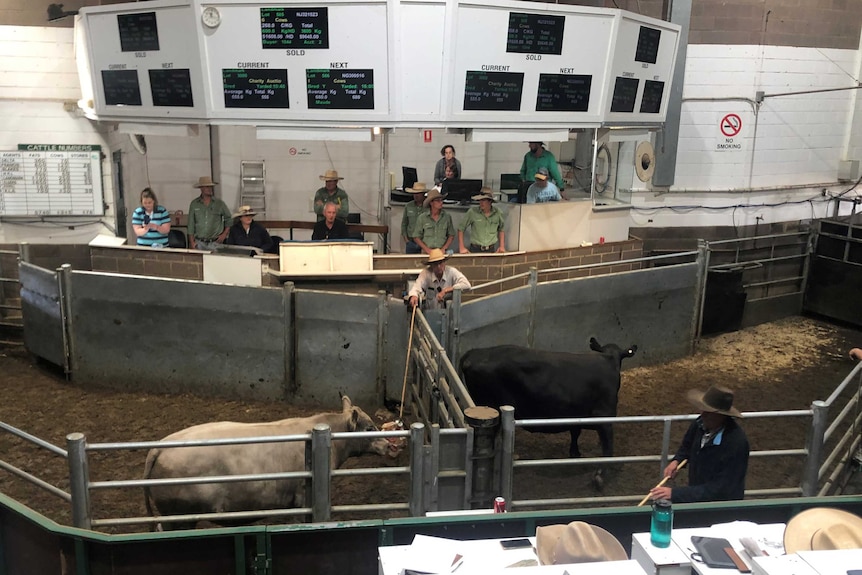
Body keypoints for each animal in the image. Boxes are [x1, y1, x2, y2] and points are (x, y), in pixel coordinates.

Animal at [462, 338, 636, 464]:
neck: (609, 361)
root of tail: (472, 354)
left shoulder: (575, 414)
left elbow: (575, 432)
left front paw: (574, 453)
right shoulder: (604, 415)